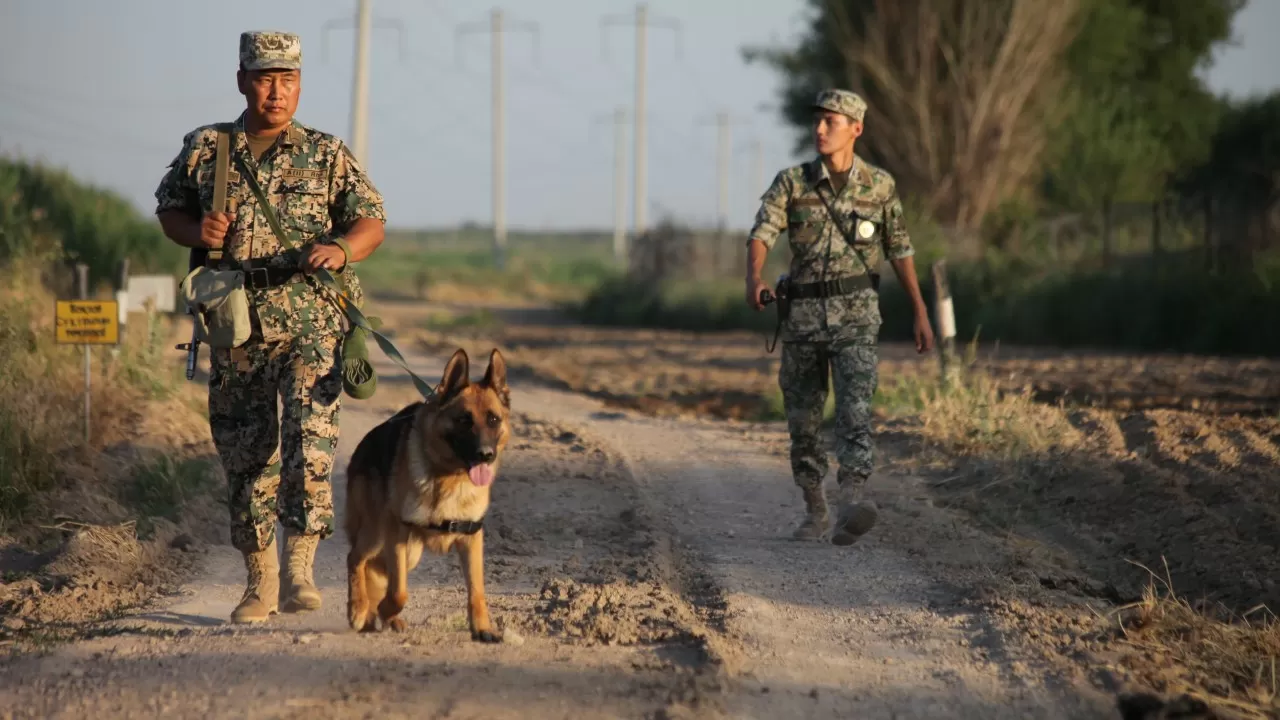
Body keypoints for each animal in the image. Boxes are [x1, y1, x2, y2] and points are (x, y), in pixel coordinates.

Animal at [348, 348, 512, 638]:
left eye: (493, 419)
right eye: (464, 420)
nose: (485, 455)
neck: (451, 478)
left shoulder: (471, 539)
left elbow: (477, 591)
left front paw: (482, 628)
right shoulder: (398, 532)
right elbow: (399, 592)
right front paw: (384, 609)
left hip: (408, 552)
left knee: (375, 569)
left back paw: (375, 616)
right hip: (376, 534)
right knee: (356, 559)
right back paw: (358, 609)